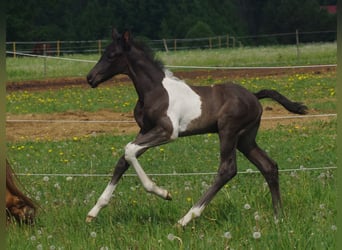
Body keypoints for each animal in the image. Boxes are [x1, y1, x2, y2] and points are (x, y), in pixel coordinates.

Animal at [85, 29, 308, 227]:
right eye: (103, 53)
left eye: (111, 55)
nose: (90, 78)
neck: (155, 91)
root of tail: (254, 96)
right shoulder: (145, 130)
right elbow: (123, 160)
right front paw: (94, 211)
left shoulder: (168, 131)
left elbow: (129, 150)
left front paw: (163, 193)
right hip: (246, 139)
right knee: (268, 166)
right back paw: (278, 217)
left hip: (228, 131)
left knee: (227, 169)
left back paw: (186, 218)